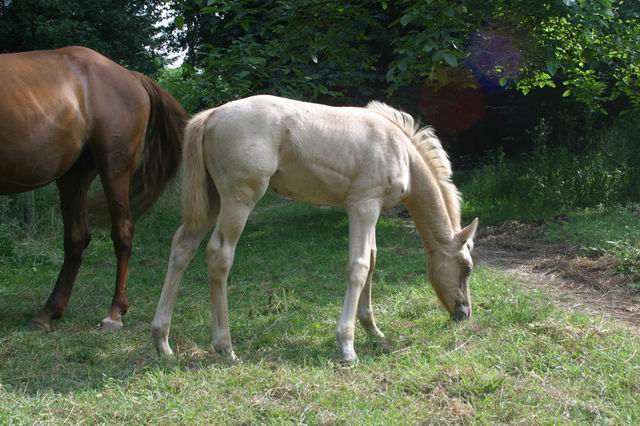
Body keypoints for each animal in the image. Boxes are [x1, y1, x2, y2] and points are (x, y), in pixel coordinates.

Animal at [0, 46, 187, 331]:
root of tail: (130, 76)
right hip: (74, 176)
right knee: (77, 238)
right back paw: (48, 312)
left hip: (114, 169)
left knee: (122, 232)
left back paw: (114, 313)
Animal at [151, 95, 478, 362]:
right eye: (466, 268)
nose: (464, 314)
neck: (401, 152)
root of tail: (213, 114)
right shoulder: (363, 206)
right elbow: (359, 267)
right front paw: (347, 346)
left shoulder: (371, 211)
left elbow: (372, 260)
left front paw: (373, 330)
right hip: (238, 199)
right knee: (219, 254)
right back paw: (225, 346)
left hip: (211, 201)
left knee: (182, 247)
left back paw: (162, 342)